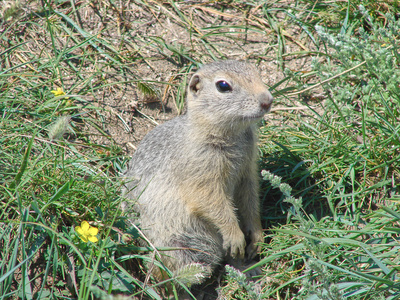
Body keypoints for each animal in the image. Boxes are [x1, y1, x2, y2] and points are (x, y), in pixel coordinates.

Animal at [123, 59, 274, 284]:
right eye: (223, 85)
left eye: (256, 72)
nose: (267, 100)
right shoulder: (200, 171)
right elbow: (211, 201)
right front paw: (235, 236)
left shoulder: (247, 170)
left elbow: (250, 199)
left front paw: (256, 235)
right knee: (164, 275)